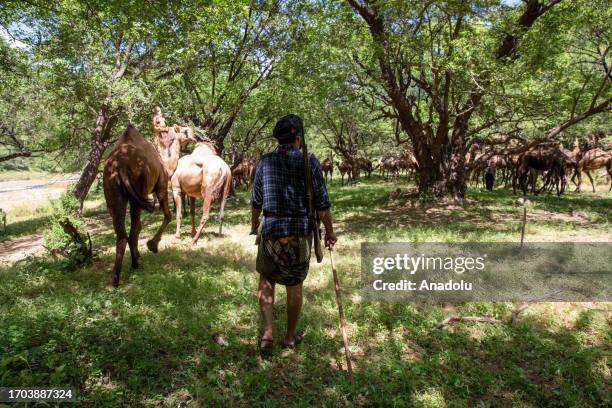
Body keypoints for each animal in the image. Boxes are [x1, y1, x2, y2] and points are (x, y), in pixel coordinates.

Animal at [102, 124, 170, 286]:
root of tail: (121, 167)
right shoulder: (161, 185)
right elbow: (168, 215)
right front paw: (152, 245)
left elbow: (139, 226)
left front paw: (141, 252)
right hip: (139, 189)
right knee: (132, 231)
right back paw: (135, 265)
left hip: (113, 192)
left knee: (122, 234)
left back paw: (113, 281)